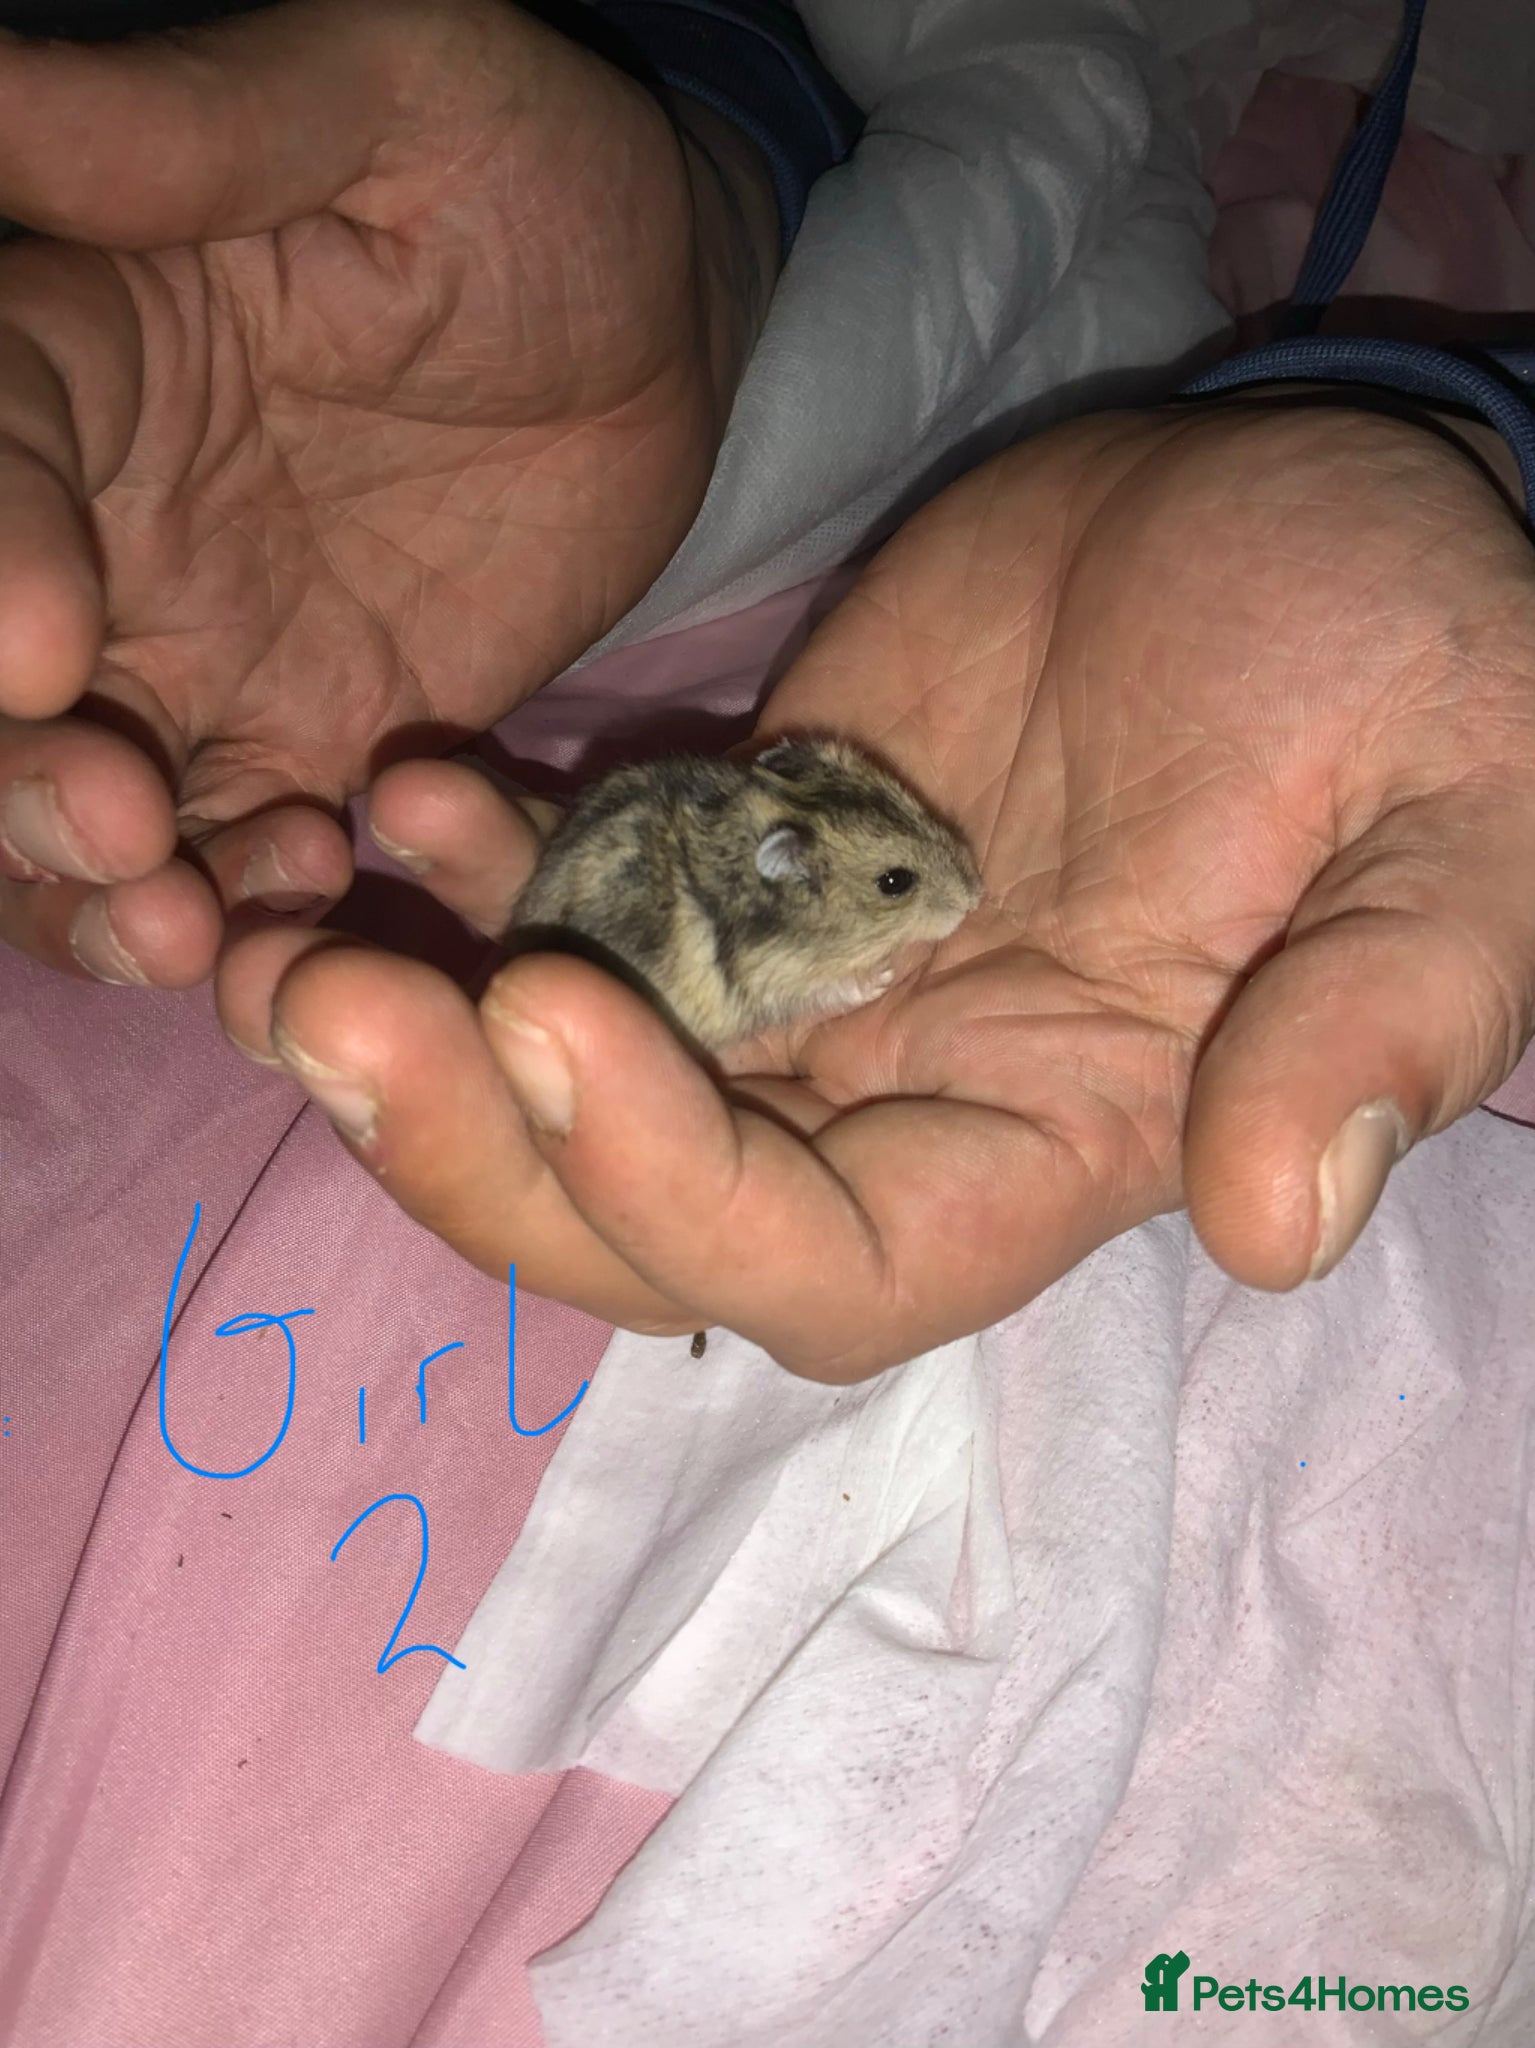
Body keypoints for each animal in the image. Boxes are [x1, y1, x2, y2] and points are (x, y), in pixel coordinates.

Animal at [507, 736, 982, 1051]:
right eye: (894, 882)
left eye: (914, 804)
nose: (976, 895)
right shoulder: (778, 981)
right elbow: (836, 988)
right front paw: (882, 978)